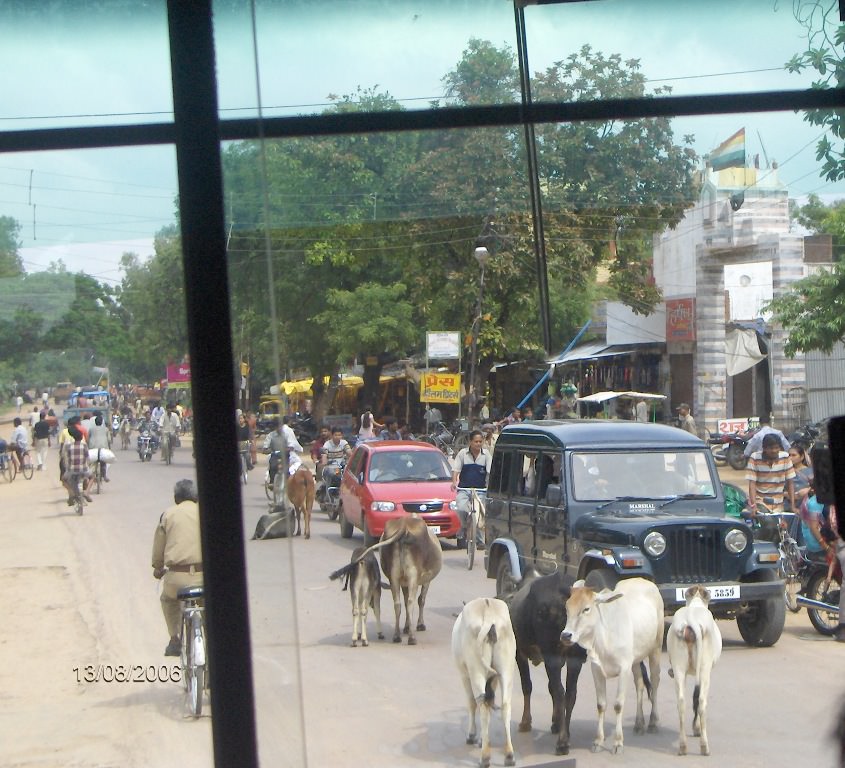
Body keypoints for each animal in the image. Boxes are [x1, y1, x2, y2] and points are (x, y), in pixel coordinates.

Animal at [452, 600, 516, 768]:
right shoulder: (493, 679)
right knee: (505, 706)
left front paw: (472, 735)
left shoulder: (464, 674)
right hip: (506, 669)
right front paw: (482, 739)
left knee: (482, 705)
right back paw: (509, 756)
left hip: (476, 671)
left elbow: (471, 703)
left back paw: (485, 757)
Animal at [504, 568, 584, 756]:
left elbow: (527, 686)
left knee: (561, 692)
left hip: (550, 654)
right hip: (575, 657)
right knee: (570, 693)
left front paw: (526, 722)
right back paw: (566, 734)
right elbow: (550, 688)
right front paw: (556, 722)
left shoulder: (519, 652)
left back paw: (562, 743)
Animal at [564, 580, 664, 752]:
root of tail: (643, 580)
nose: (565, 635)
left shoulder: (624, 669)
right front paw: (598, 741)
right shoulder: (596, 670)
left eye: (586, 609)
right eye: (567, 608)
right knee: (639, 685)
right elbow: (601, 705)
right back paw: (639, 724)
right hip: (635, 660)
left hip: (655, 649)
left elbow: (618, 705)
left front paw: (618, 742)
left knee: (655, 683)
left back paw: (652, 722)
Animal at [664, 584, 720, 752]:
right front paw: (696, 729)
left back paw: (682, 746)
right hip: (704, 669)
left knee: (681, 703)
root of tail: (691, 621)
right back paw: (704, 746)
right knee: (701, 701)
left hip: (679, 668)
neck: (695, 604)